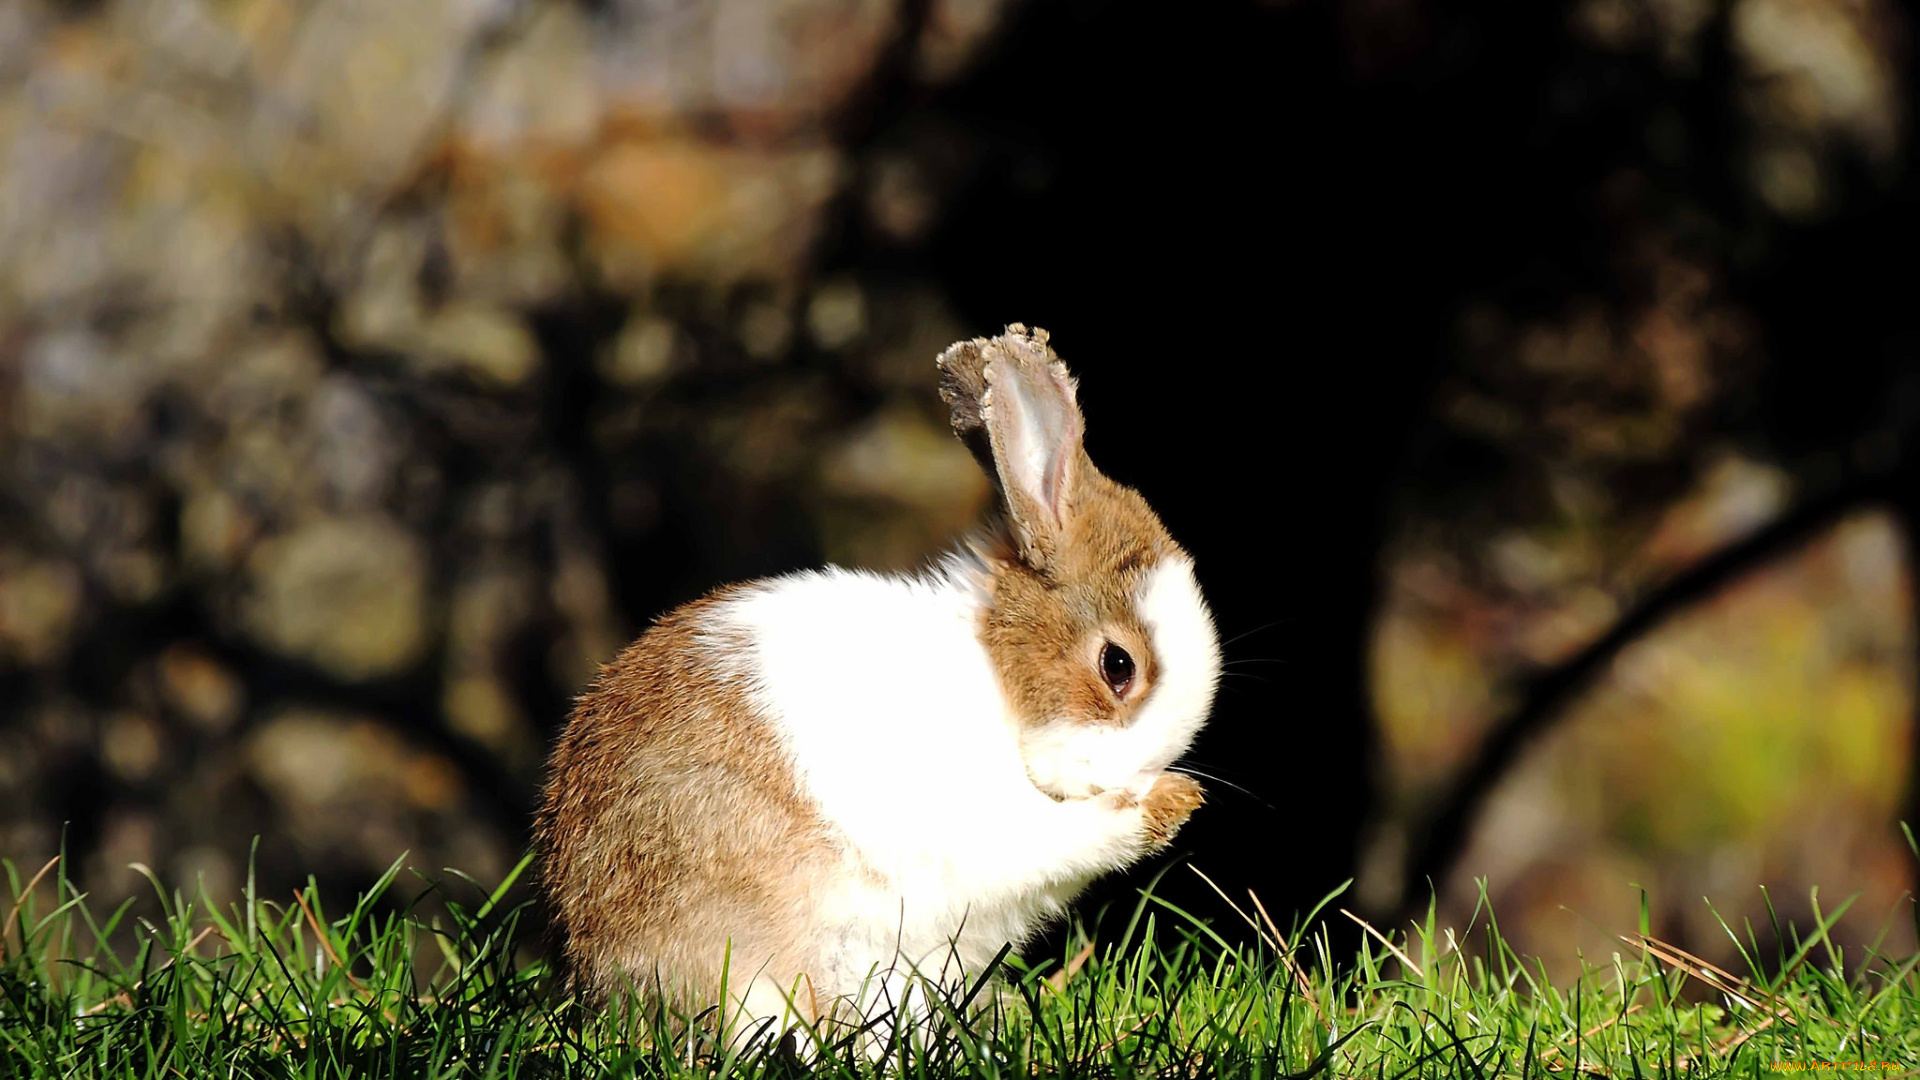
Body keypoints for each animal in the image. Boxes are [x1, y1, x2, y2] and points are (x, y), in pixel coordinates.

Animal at [533, 320, 1221, 1037]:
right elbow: (1065, 837)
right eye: (1118, 666)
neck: (995, 679)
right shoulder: (979, 826)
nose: (1134, 779)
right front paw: (1171, 804)